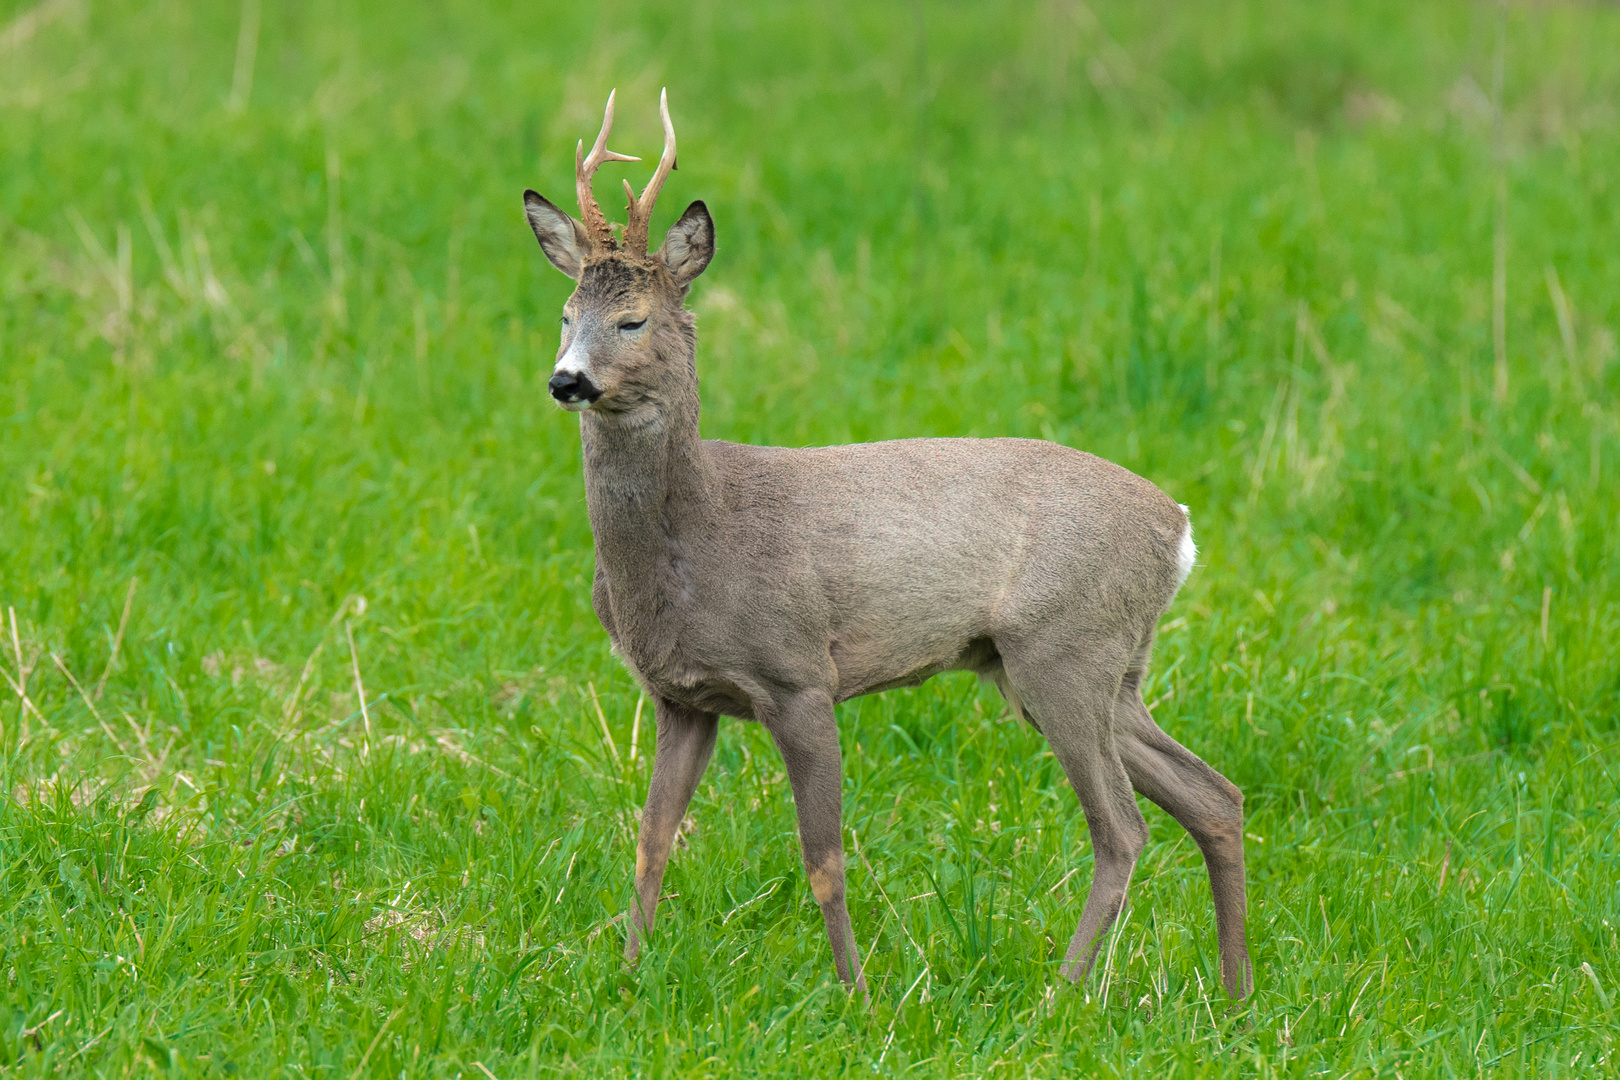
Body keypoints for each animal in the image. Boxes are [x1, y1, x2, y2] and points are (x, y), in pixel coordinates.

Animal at [518, 88, 1250, 1003]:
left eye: (632, 319)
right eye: (563, 315)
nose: (566, 380)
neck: (697, 539)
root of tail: (1177, 527)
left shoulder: (798, 674)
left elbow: (824, 856)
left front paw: (856, 995)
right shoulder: (681, 694)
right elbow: (652, 840)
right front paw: (624, 978)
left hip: (1064, 647)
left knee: (1122, 826)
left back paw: (1060, 995)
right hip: (1103, 665)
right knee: (1213, 795)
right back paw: (1237, 994)